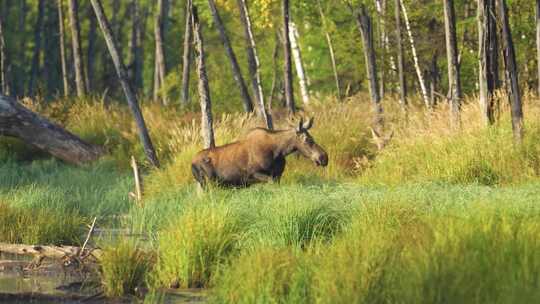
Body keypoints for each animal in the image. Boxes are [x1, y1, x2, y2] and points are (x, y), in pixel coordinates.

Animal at [194, 117, 330, 186]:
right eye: (307, 139)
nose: (324, 157)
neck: (279, 151)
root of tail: (192, 162)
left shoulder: (278, 175)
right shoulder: (254, 173)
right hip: (207, 183)